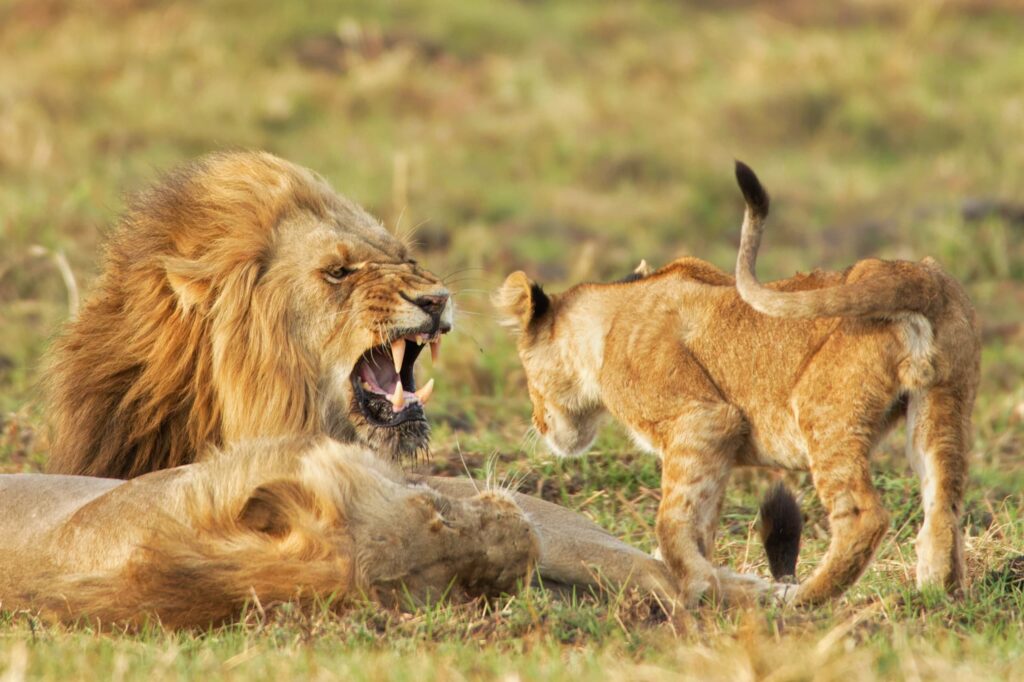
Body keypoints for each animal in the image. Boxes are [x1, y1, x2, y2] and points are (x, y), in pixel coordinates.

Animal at [496, 161, 980, 606]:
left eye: (527, 376)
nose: (538, 423)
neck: (611, 316)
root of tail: (912, 274)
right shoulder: (716, 445)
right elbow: (698, 521)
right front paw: (702, 579)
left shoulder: (702, 419)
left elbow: (671, 522)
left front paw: (696, 587)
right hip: (942, 406)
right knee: (943, 508)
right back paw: (938, 598)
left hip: (822, 410)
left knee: (863, 515)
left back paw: (803, 600)